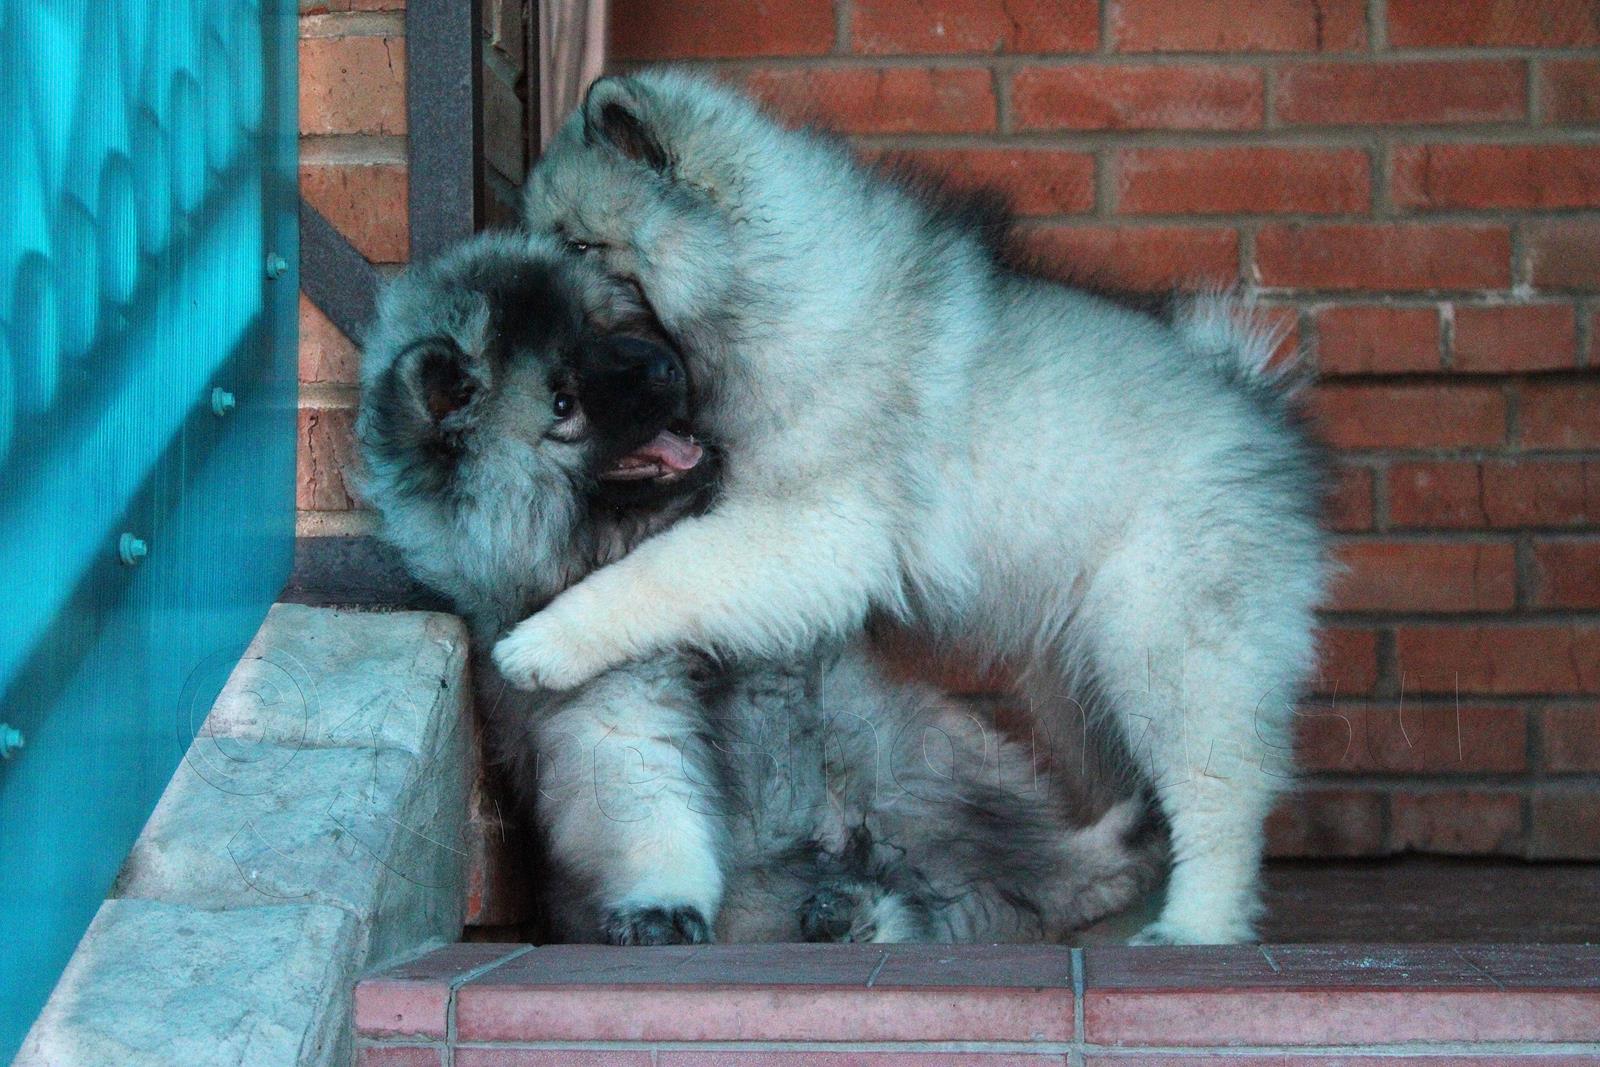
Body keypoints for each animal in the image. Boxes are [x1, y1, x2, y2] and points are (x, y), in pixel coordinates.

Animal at [360, 233, 1164, 940]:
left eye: (607, 328)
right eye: (562, 404)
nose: (665, 366)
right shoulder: (618, 713)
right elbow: (653, 808)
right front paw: (662, 906)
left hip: (917, 764)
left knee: (1032, 868)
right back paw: (854, 915)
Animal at [499, 70, 1324, 947]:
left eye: (580, 247)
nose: (547, 364)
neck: (770, 287)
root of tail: (1261, 412)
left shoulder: (812, 529)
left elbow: (665, 570)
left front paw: (545, 640)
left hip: (1173, 652)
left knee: (1218, 797)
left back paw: (1195, 926)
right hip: (1081, 684)